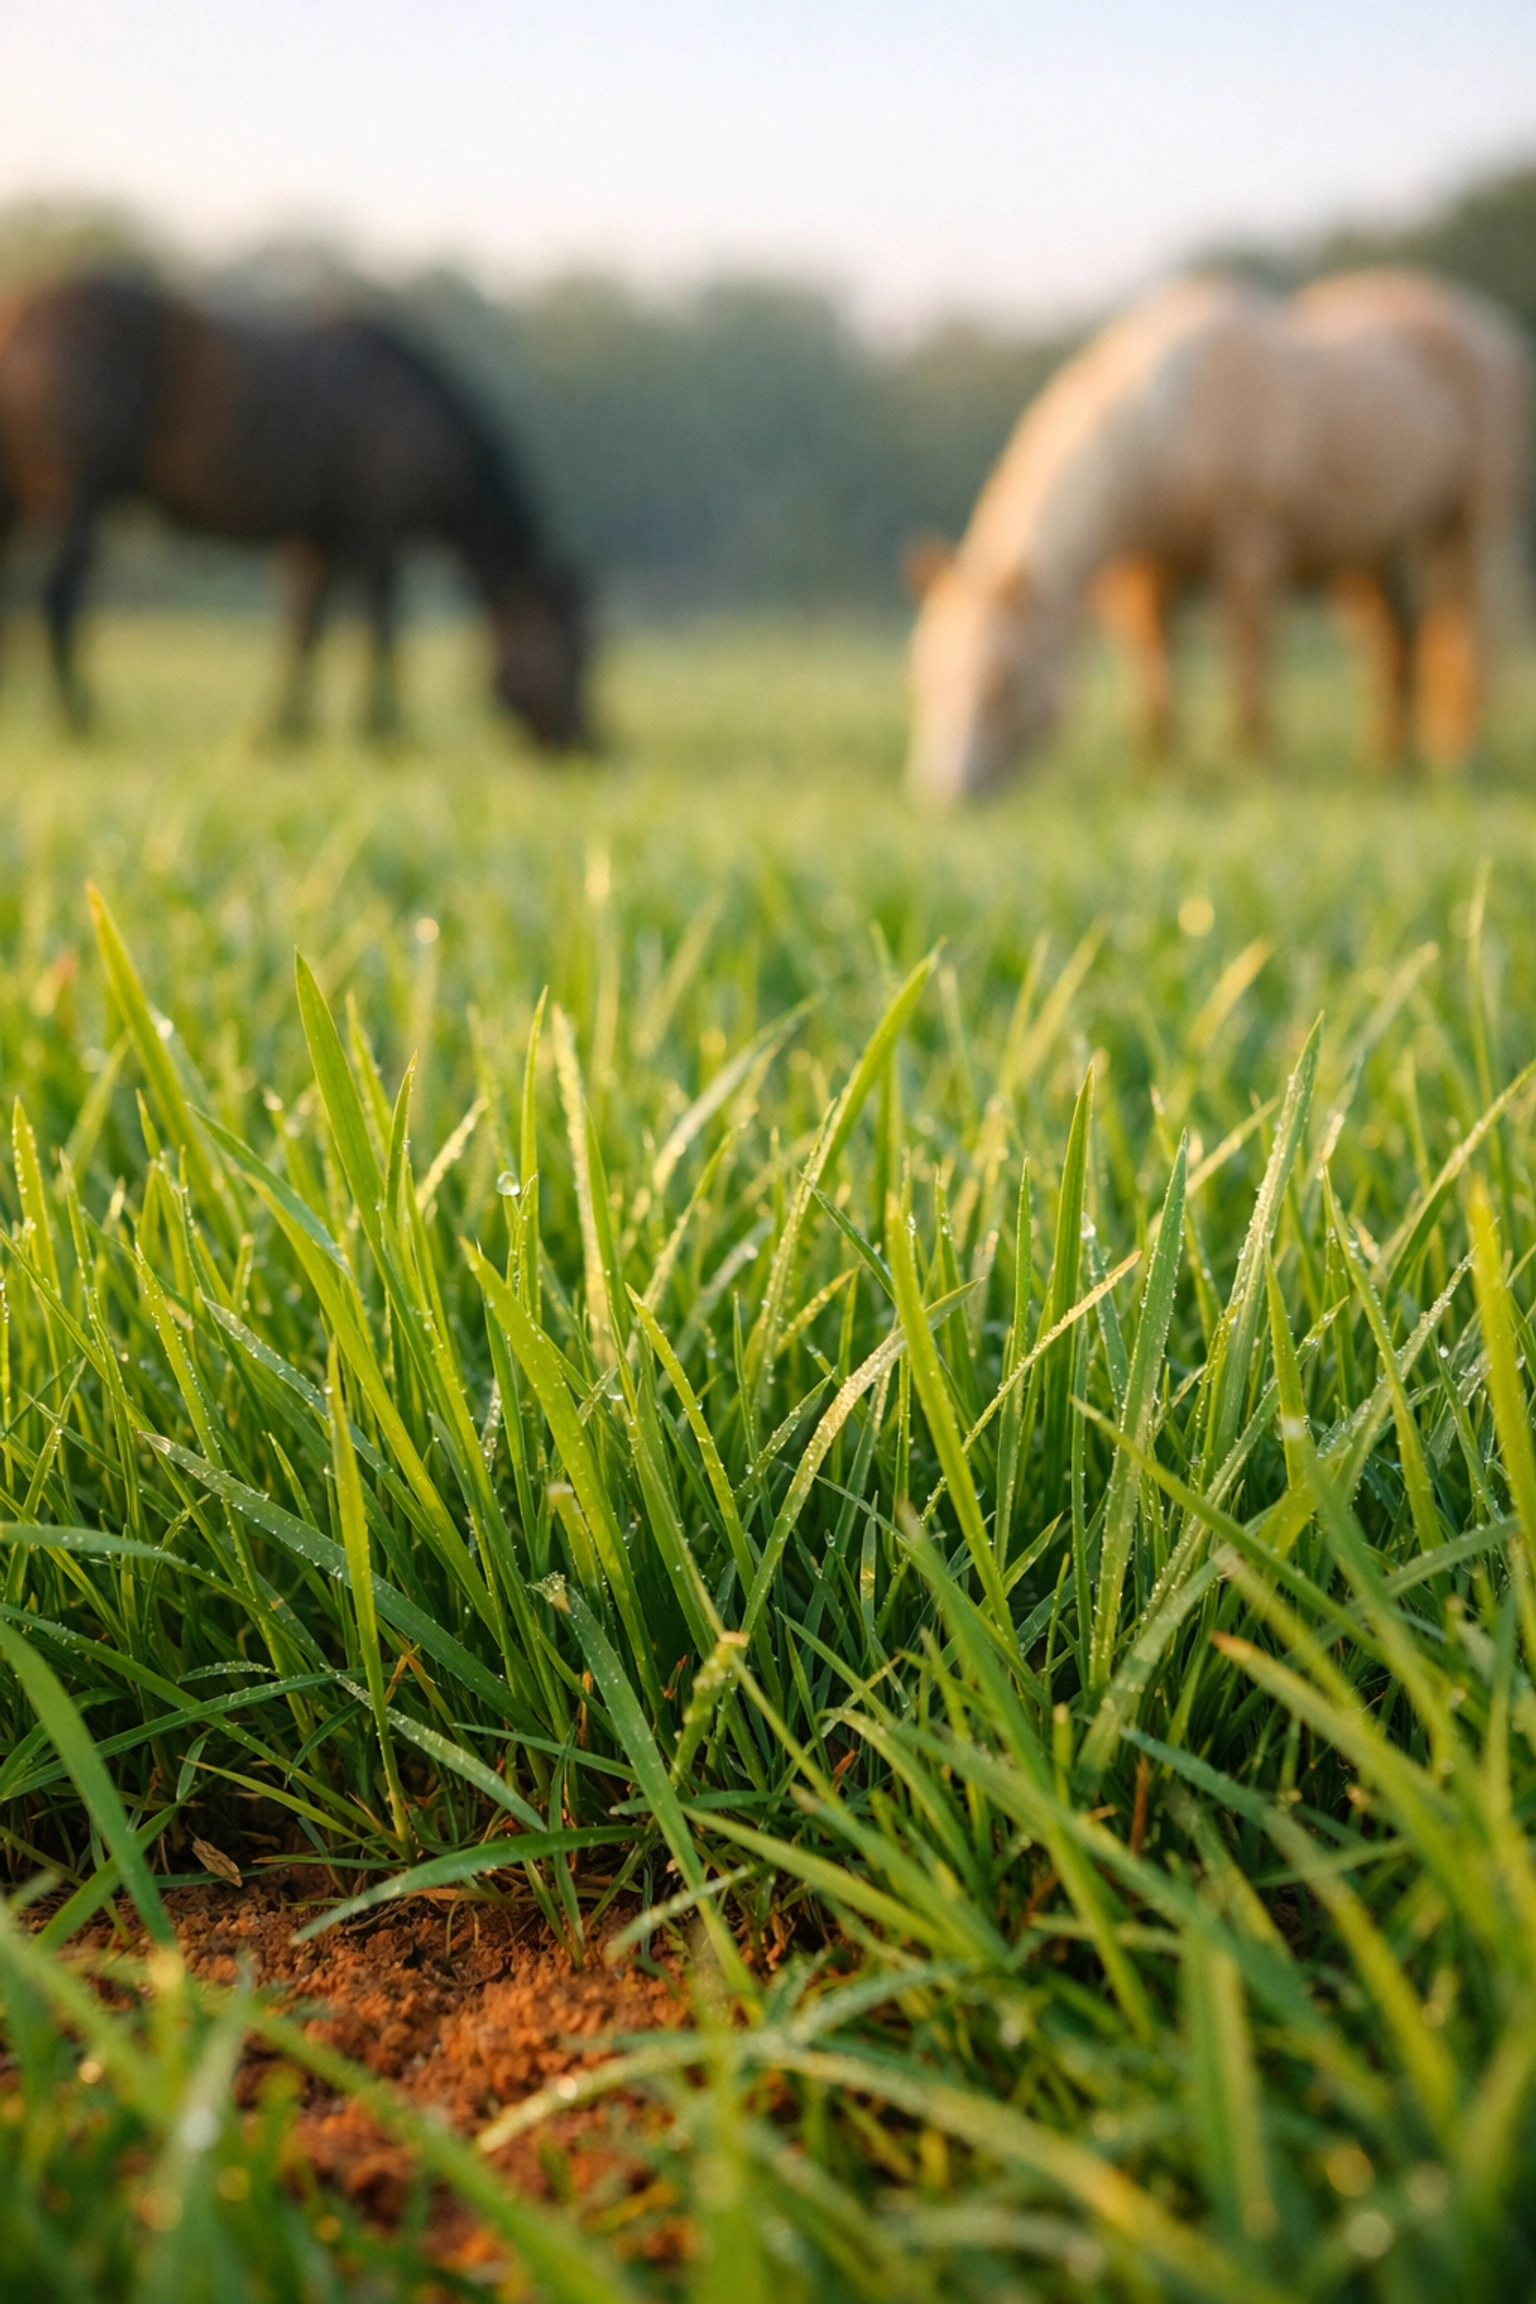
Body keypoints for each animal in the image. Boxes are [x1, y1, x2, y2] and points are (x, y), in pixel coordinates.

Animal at [0, 272, 590, 747]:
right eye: (575, 649)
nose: (590, 745)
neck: (423, 416)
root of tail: (21, 311)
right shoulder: (376, 532)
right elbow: (380, 629)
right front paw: (381, 732)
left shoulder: (315, 538)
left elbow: (305, 631)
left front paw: (289, 730)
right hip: (78, 494)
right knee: (59, 597)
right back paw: (76, 718)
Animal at [906, 270, 1532, 803]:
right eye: (924, 681)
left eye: (1004, 682)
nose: (944, 794)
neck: (1168, 427)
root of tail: (1487, 326)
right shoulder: (1140, 578)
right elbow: (1155, 686)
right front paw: (1161, 776)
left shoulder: (1250, 555)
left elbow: (1247, 668)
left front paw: (1256, 771)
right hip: (1370, 551)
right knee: (1395, 646)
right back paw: (1388, 765)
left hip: (1466, 528)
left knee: (1463, 633)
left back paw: (1457, 757)